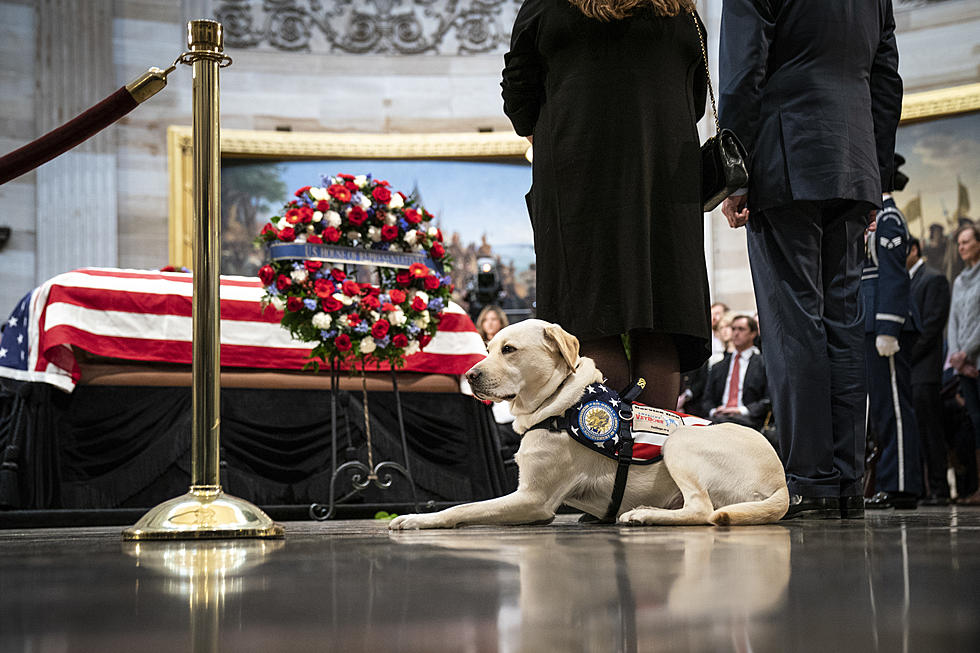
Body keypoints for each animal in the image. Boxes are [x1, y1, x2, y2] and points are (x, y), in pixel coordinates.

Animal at [388, 318, 788, 528]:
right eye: (487, 348)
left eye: (509, 350)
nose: (469, 375)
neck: (556, 405)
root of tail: (782, 483)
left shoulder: (533, 499)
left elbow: (464, 507)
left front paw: (418, 519)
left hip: (680, 442)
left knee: (703, 510)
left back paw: (644, 515)